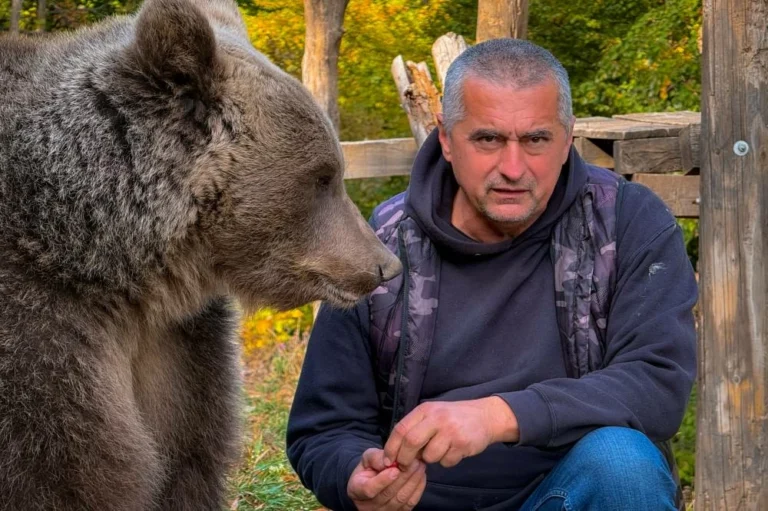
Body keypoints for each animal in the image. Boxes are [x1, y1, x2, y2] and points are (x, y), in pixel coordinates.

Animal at [0, 0, 402, 509]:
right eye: (322, 176)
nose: (385, 265)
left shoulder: (177, 349)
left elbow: (188, 455)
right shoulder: (38, 335)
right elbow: (61, 471)